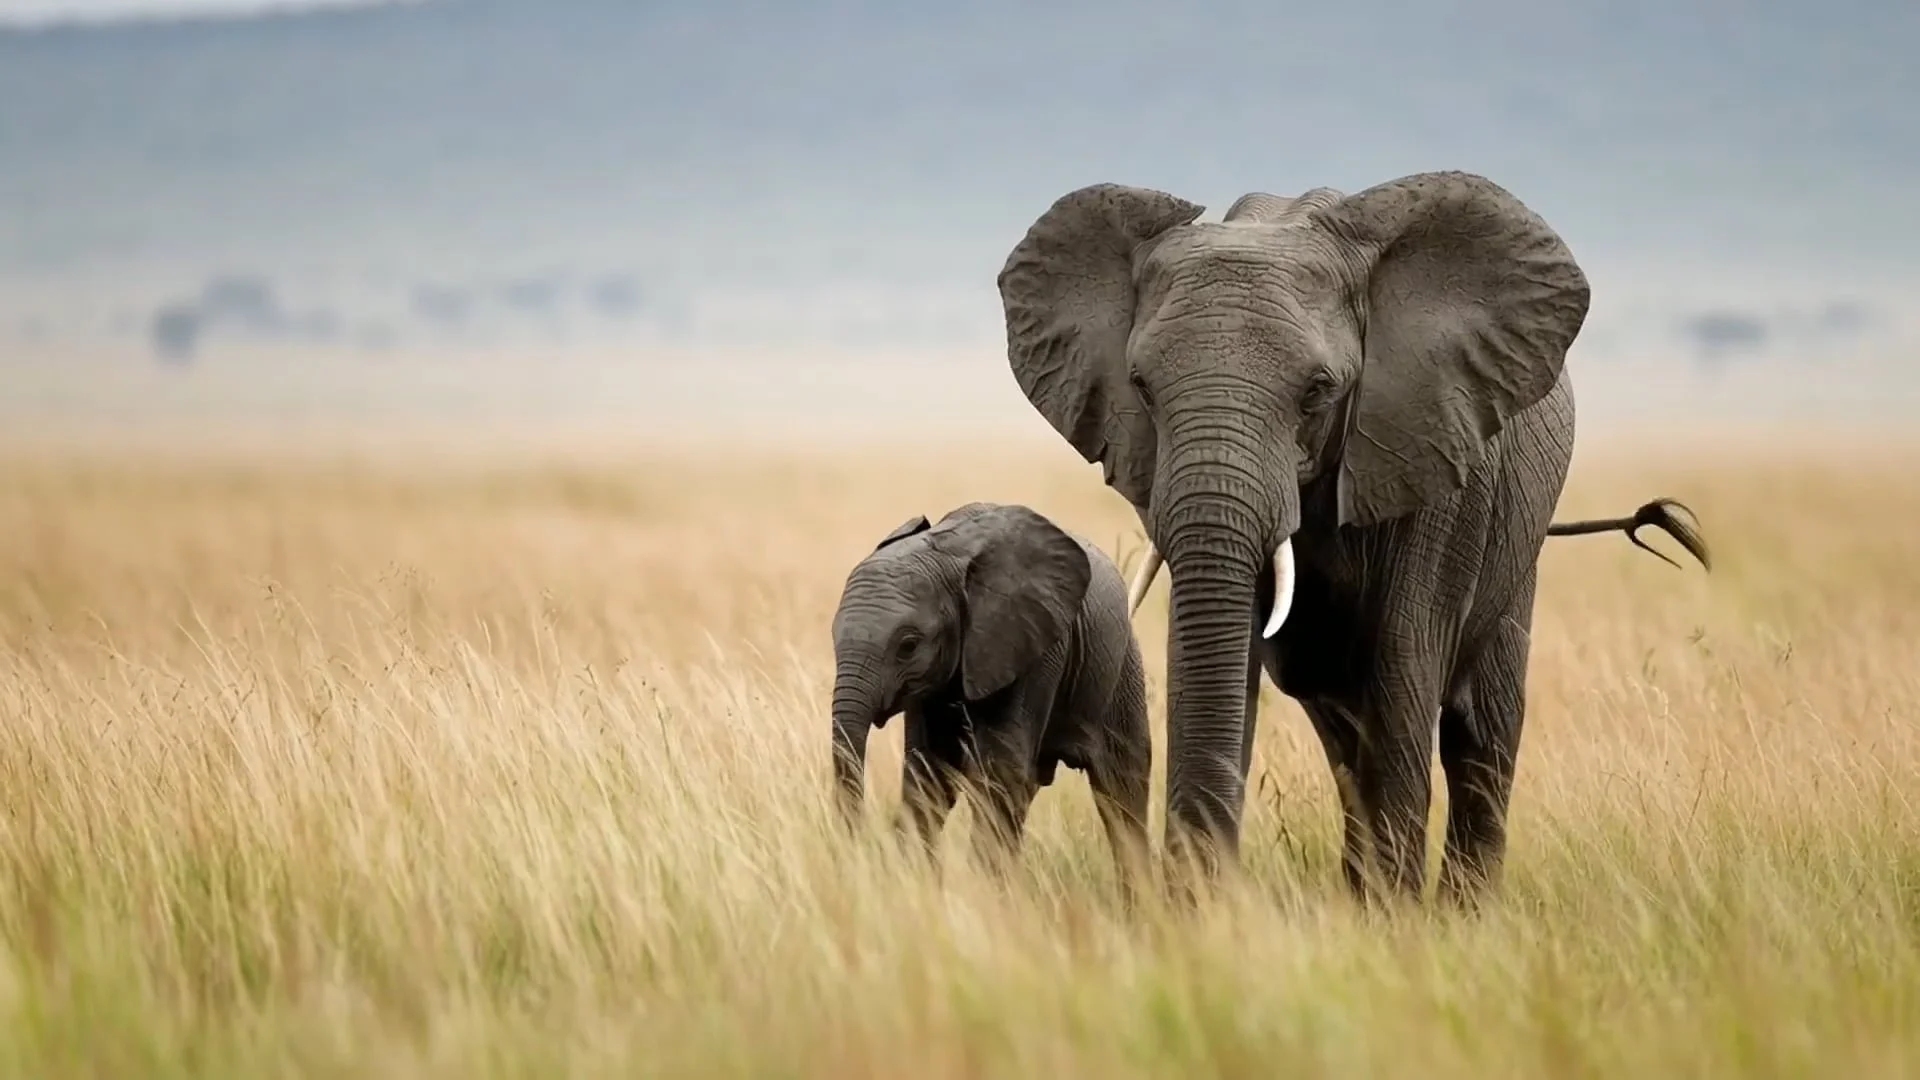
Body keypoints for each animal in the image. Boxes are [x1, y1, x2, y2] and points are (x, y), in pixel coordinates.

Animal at [828, 501, 1152, 896]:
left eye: (908, 646)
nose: (858, 848)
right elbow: (929, 774)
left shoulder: (1031, 648)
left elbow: (1001, 774)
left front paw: (985, 893)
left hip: (1121, 670)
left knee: (1123, 788)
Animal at [995, 171, 1712, 904]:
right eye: (1140, 386)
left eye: (1319, 390)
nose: (1196, 891)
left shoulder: (1437, 455)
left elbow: (1404, 663)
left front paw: (1395, 919)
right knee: (1345, 733)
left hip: (1517, 542)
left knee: (1477, 731)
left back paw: (1463, 911)